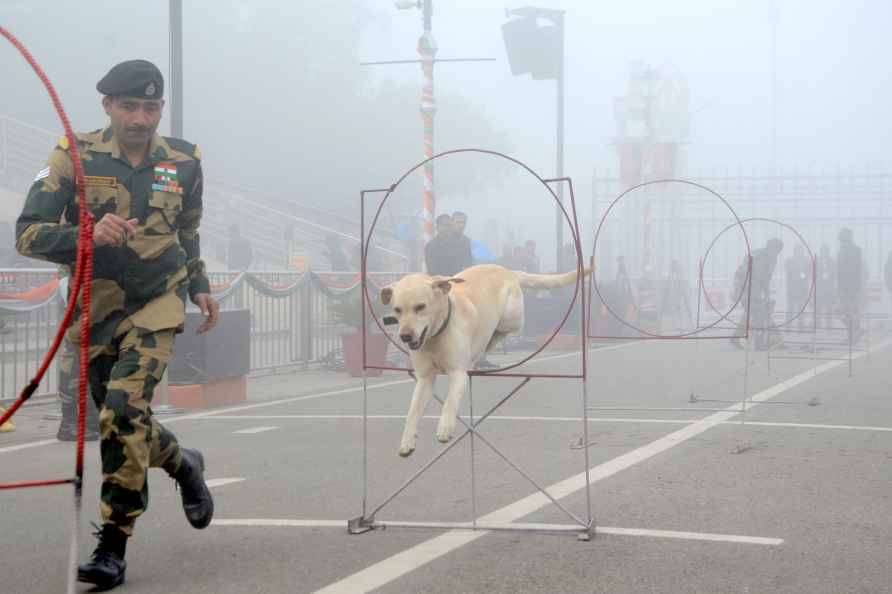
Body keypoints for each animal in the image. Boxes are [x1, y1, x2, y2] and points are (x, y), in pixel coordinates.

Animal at [382, 262, 584, 454]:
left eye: (421, 307)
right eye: (397, 310)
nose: (404, 336)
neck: (435, 337)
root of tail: (508, 271)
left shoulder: (458, 373)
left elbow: (450, 401)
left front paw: (445, 427)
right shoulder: (424, 379)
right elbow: (412, 411)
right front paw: (407, 441)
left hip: (510, 318)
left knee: (505, 330)